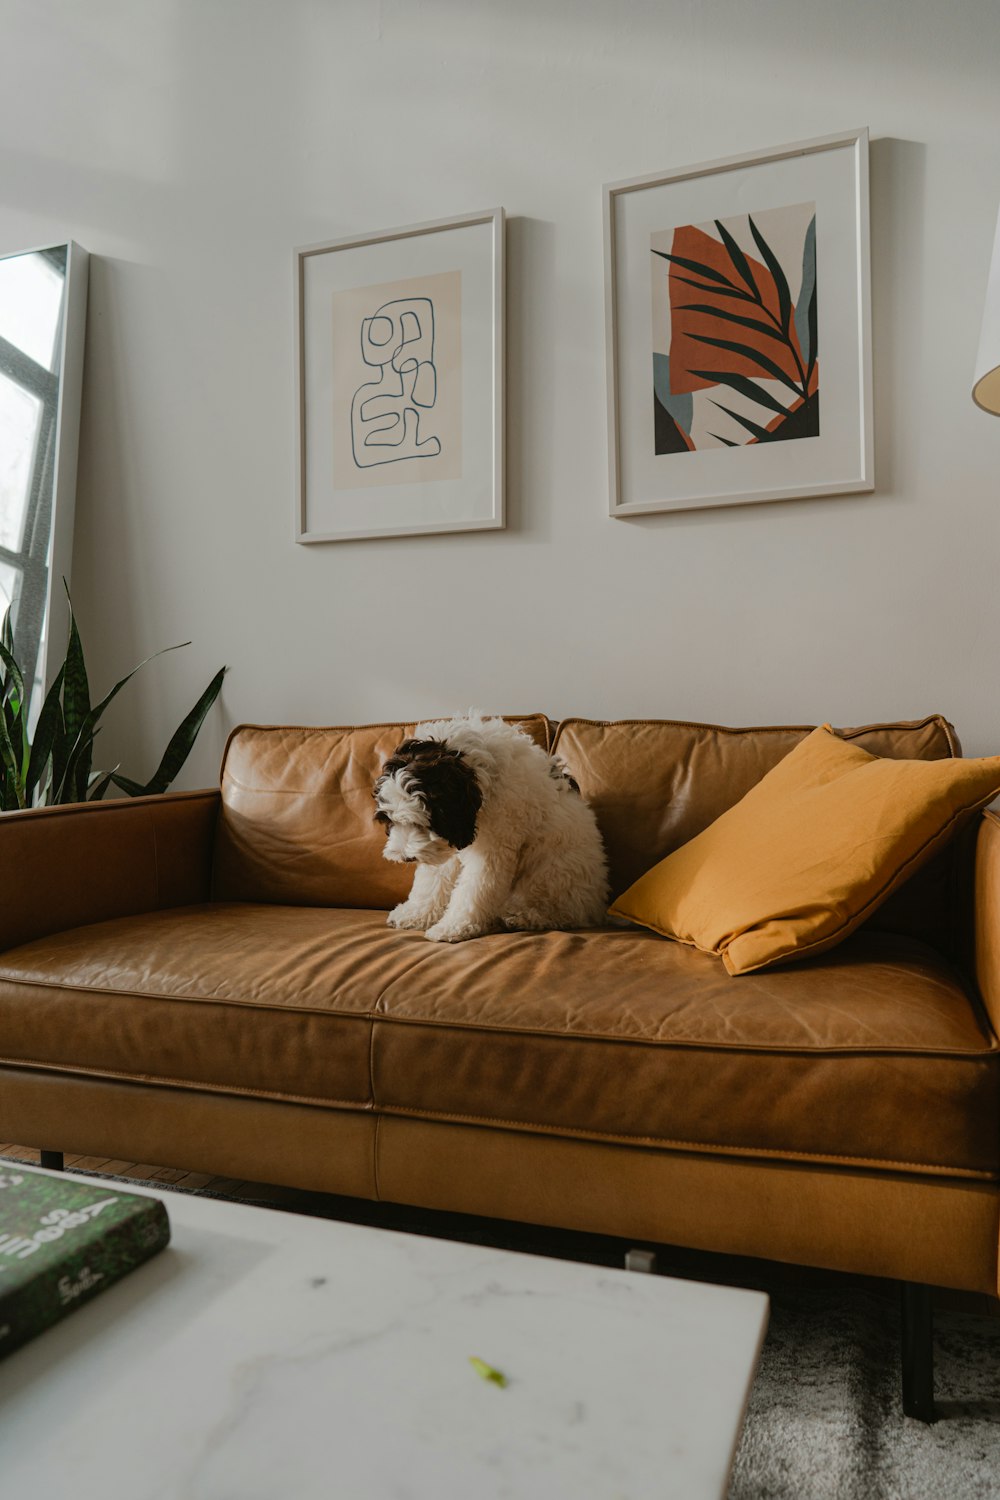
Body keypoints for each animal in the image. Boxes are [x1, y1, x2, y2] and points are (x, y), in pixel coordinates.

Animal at [373, 711, 611, 942]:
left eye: (424, 821)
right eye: (391, 821)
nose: (406, 858)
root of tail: (598, 907)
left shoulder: (493, 847)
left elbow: (473, 889)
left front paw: (454, 927)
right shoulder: (446, 844)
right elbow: (432, 881)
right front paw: (415, 914)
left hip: (550, 875)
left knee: (564, 913)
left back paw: (521, 916)